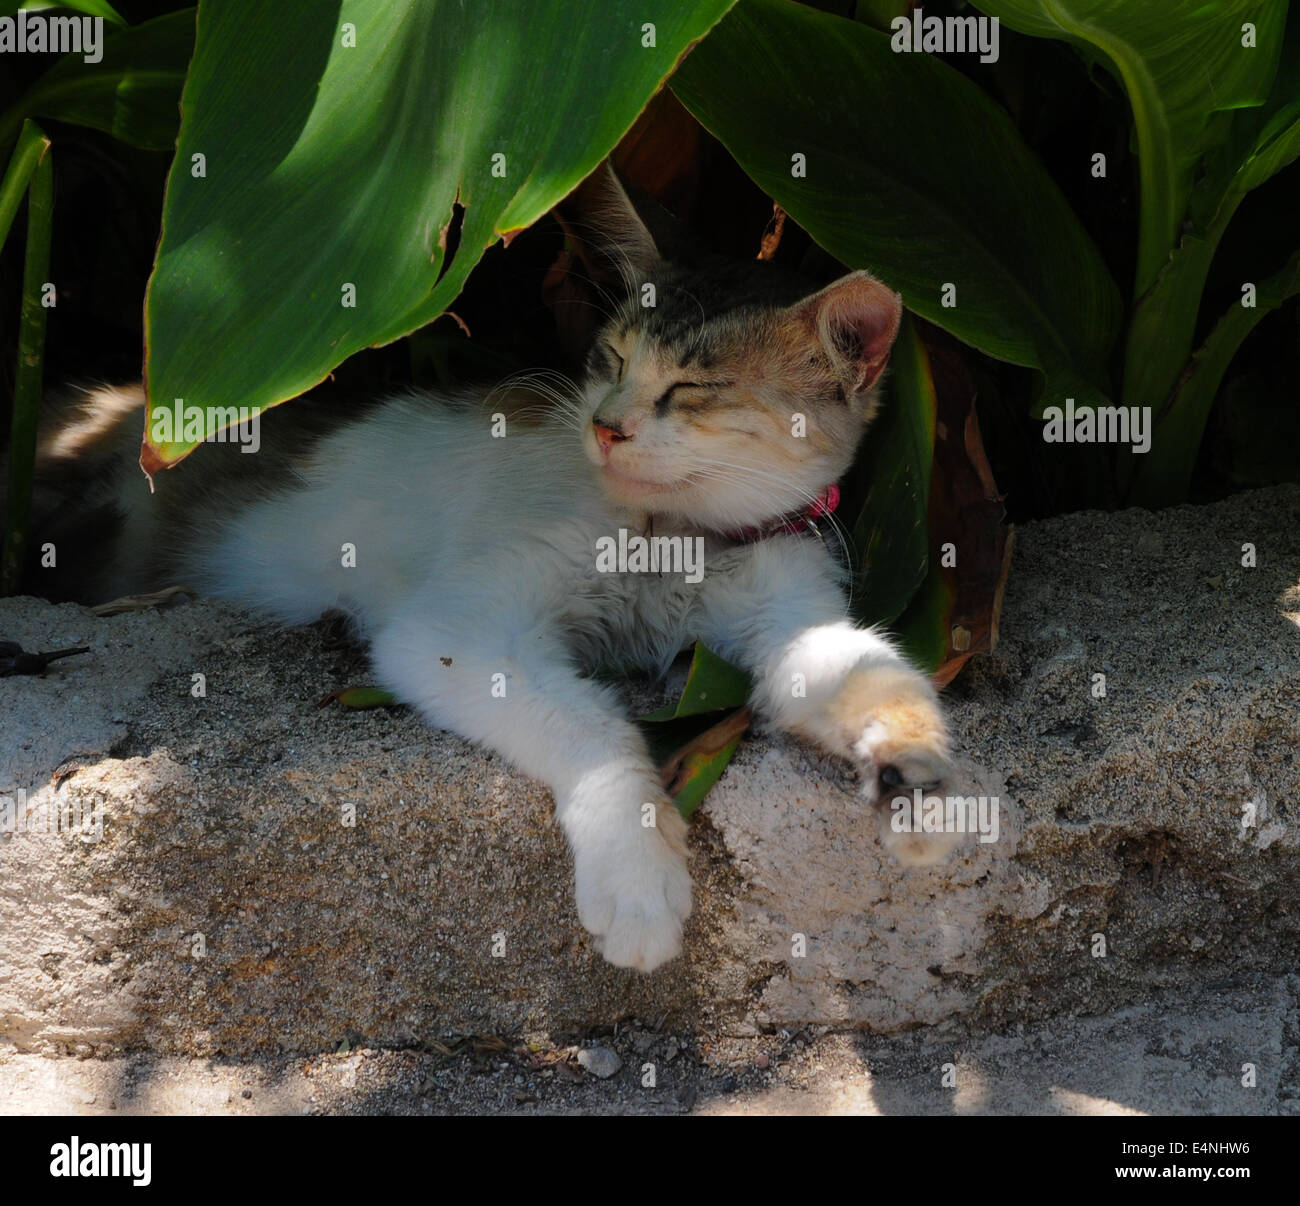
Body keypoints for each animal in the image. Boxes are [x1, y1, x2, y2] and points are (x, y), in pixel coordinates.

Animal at [20, 165, 961, 972]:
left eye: (693, 389)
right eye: (612, 359)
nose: (607, 424)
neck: (669, 539)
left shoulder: (789, 603)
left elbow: (866, 671)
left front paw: (919, 772)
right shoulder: (459, 632)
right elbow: (594, 729)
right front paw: (638, 875)